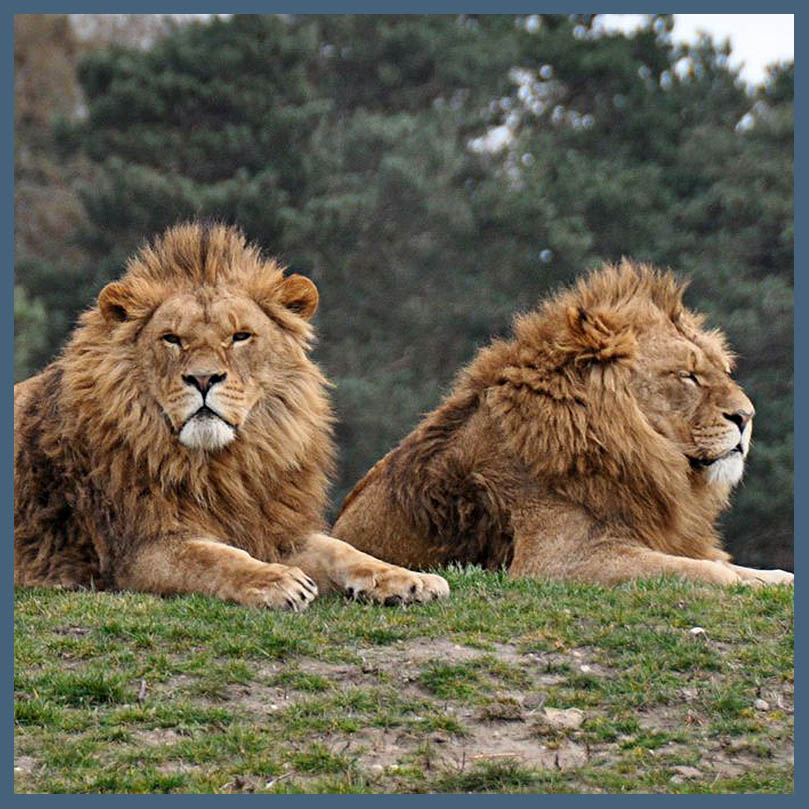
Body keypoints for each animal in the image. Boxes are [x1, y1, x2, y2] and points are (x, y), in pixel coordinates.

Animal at [14, 222, 449, 609]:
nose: (204, 378)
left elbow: (343, 550)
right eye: (172, 338)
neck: (222, 467)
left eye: (240, 336)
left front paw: (409, 579)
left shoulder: (273, 525)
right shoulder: (138, 548)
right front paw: (275, 580)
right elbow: (214, 558)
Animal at [332, 261, 793, 588]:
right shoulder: (557, 563)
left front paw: (773, 578)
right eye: (688, 375)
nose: (746, 417)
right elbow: (706, 571)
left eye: (722, 371)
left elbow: (742, 569)